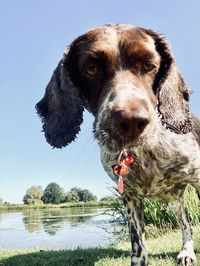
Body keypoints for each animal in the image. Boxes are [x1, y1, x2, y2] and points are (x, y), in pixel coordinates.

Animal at [36, 23, 200, 264]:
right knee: (185, 222)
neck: (144, 154)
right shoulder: (130, 198)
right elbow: (138, 245)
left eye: (149, 65)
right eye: (92, 68)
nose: (131, 122)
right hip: (173, 199)